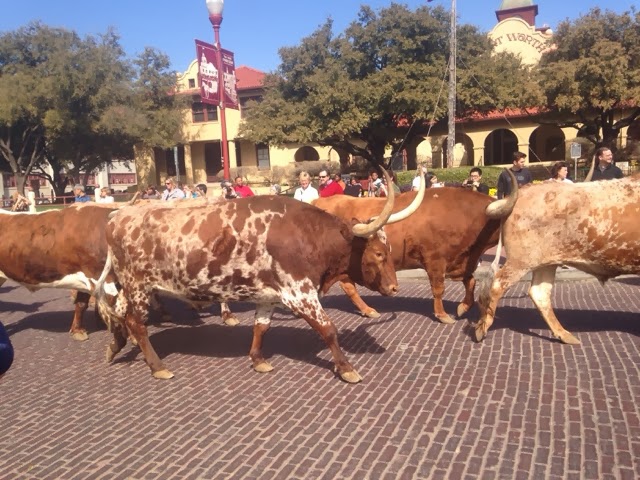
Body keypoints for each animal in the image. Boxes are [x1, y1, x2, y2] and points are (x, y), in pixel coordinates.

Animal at [94, 171, 425, 383]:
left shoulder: (269, 295)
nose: (394, 287)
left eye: (388, 250)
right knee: (136, 322)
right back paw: (157, 365)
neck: (307, 234)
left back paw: (116, 347)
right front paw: (345, 368)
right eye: (378, 254)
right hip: (138, 285)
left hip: (131, 286)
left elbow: (261, 327)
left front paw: (258, 360)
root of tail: (117, 216)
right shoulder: (300, 293)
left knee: (119, 313)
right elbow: (328, 329)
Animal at [312, 171, 518, 324]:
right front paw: (443, 315)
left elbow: (471, 282)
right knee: (349, 287)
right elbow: (439, 288)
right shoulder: (435, 260)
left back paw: (368, 310)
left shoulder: (462, 261)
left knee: (348, 286)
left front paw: (462, 307)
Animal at [472, 169, 640, 344]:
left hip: (545, 262)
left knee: (539, 293)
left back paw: (564, 334)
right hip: (521, 261)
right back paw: (482, 327)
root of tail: (523, 193)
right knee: (498, 284)